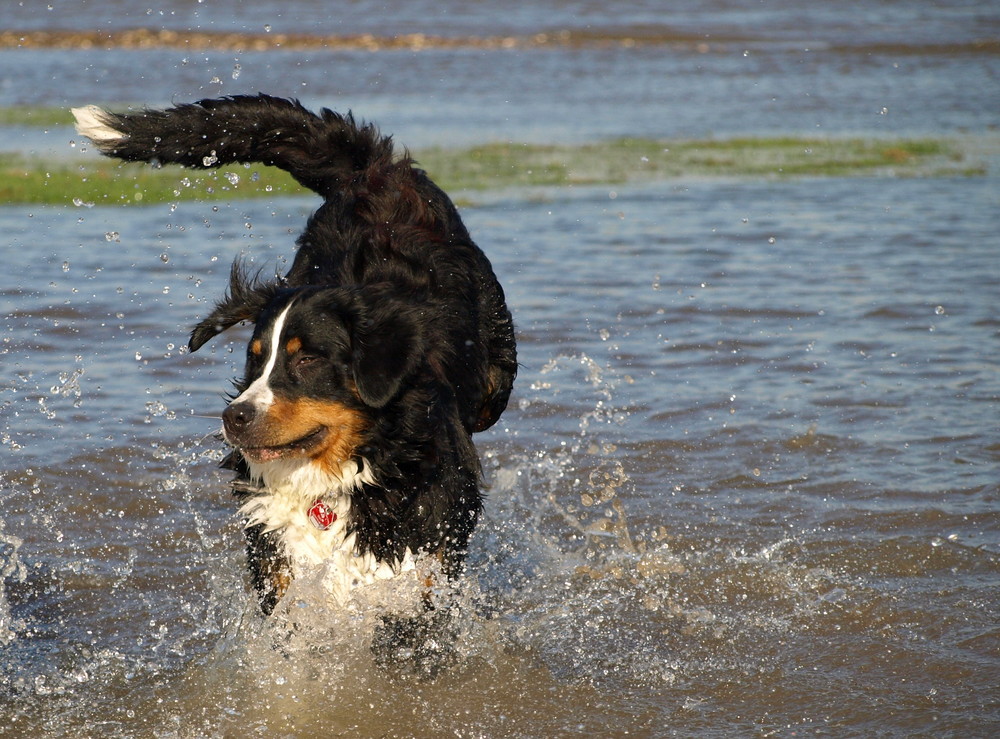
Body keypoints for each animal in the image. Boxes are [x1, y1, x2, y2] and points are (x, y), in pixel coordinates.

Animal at [72, 95, 516, 668]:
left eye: (306, 361)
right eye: (254, 359)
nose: (234, 417)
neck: (332, 486)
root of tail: (373, 170)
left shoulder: (421, 570)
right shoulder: (281, 567)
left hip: (494, 378)